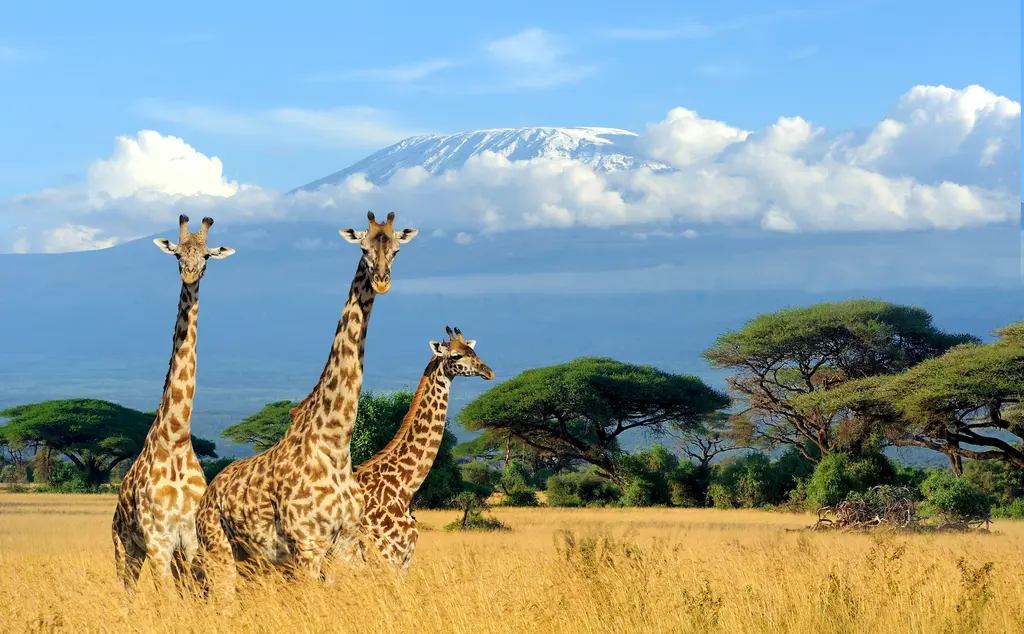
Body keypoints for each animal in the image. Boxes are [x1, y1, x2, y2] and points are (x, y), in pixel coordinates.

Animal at [111, 214, 235, 595]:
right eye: (178, 254)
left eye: (207, 256)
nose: (191, 274)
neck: (177, 438)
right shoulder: (158, 541)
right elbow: (166, 596)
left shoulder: (191, 540)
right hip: (125, 546)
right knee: (127, 590)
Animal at [195, 211, 418, 593]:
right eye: (363, 247)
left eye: (397, 250)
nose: (382, 281)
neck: (336, 444)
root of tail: (206, 496)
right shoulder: (308, 545)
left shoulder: (344, 545)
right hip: (218, 550)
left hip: (252, 560)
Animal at [338, 326, 494, 572]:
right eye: (456, 355)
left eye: (473, 351)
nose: (489, 372)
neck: (403, 488)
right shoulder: (385, 558)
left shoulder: (403, 562)